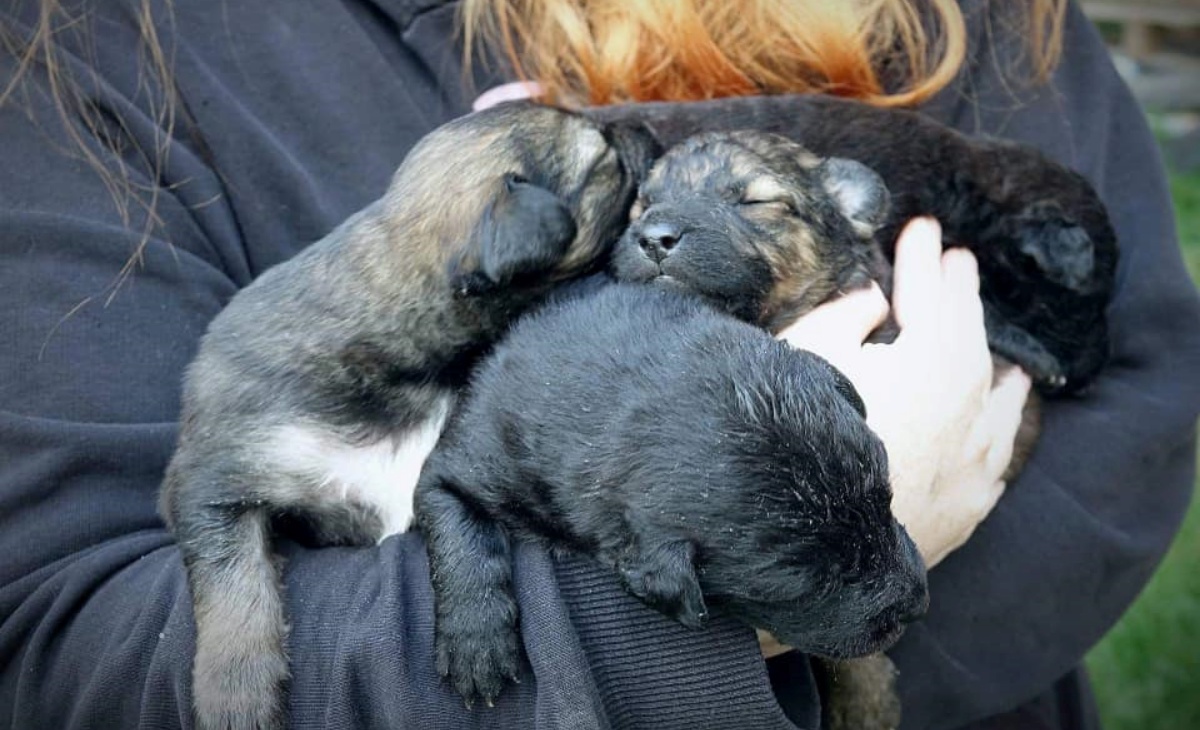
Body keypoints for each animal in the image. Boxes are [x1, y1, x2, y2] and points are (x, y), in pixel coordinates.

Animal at [417, 282, 931, 705]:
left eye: (885, 500)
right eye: (814, 586)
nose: (917, 603)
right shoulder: (458, 463)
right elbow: (459, 533)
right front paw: (475, 642)